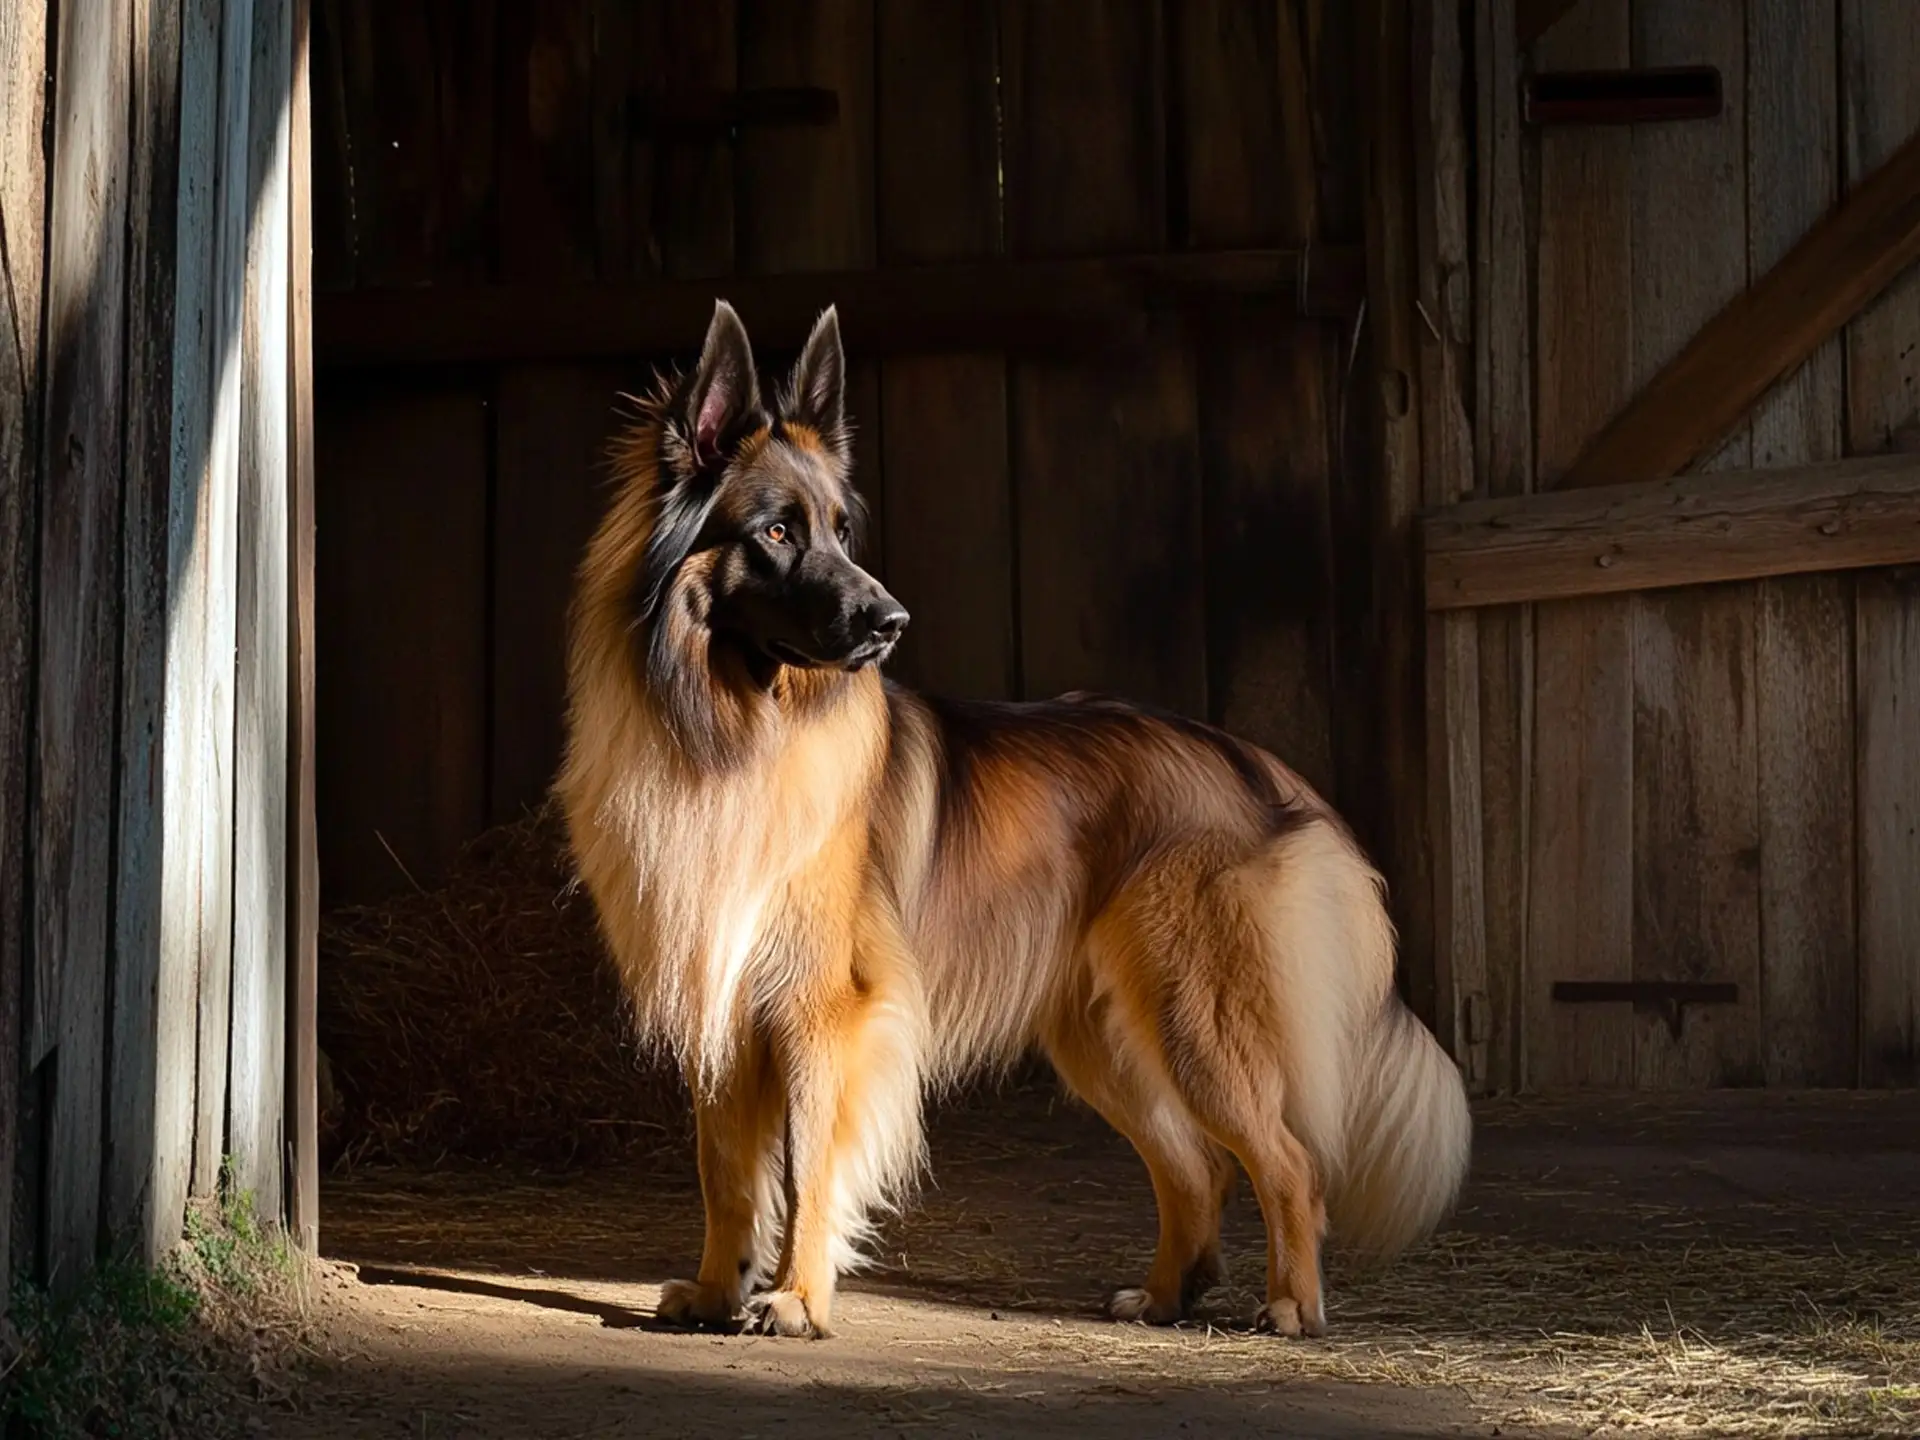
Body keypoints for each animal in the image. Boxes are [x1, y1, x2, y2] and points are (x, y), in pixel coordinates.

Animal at [556, 301, 1466, 1344]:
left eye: (840, 529)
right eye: (779, 530)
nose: (891, 622)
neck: (733, 725)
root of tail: (1261, 767)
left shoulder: (828, 1008)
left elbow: (810, 1160)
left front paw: (796, 1298)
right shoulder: (721, 1000)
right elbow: (726, 1172)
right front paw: (716, 1292)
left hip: (1193, 1018)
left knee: (1286, 1160)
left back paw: (1290, 1304)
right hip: (1105, 1036)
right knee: (1196, 1166)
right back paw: (1164, 1295)